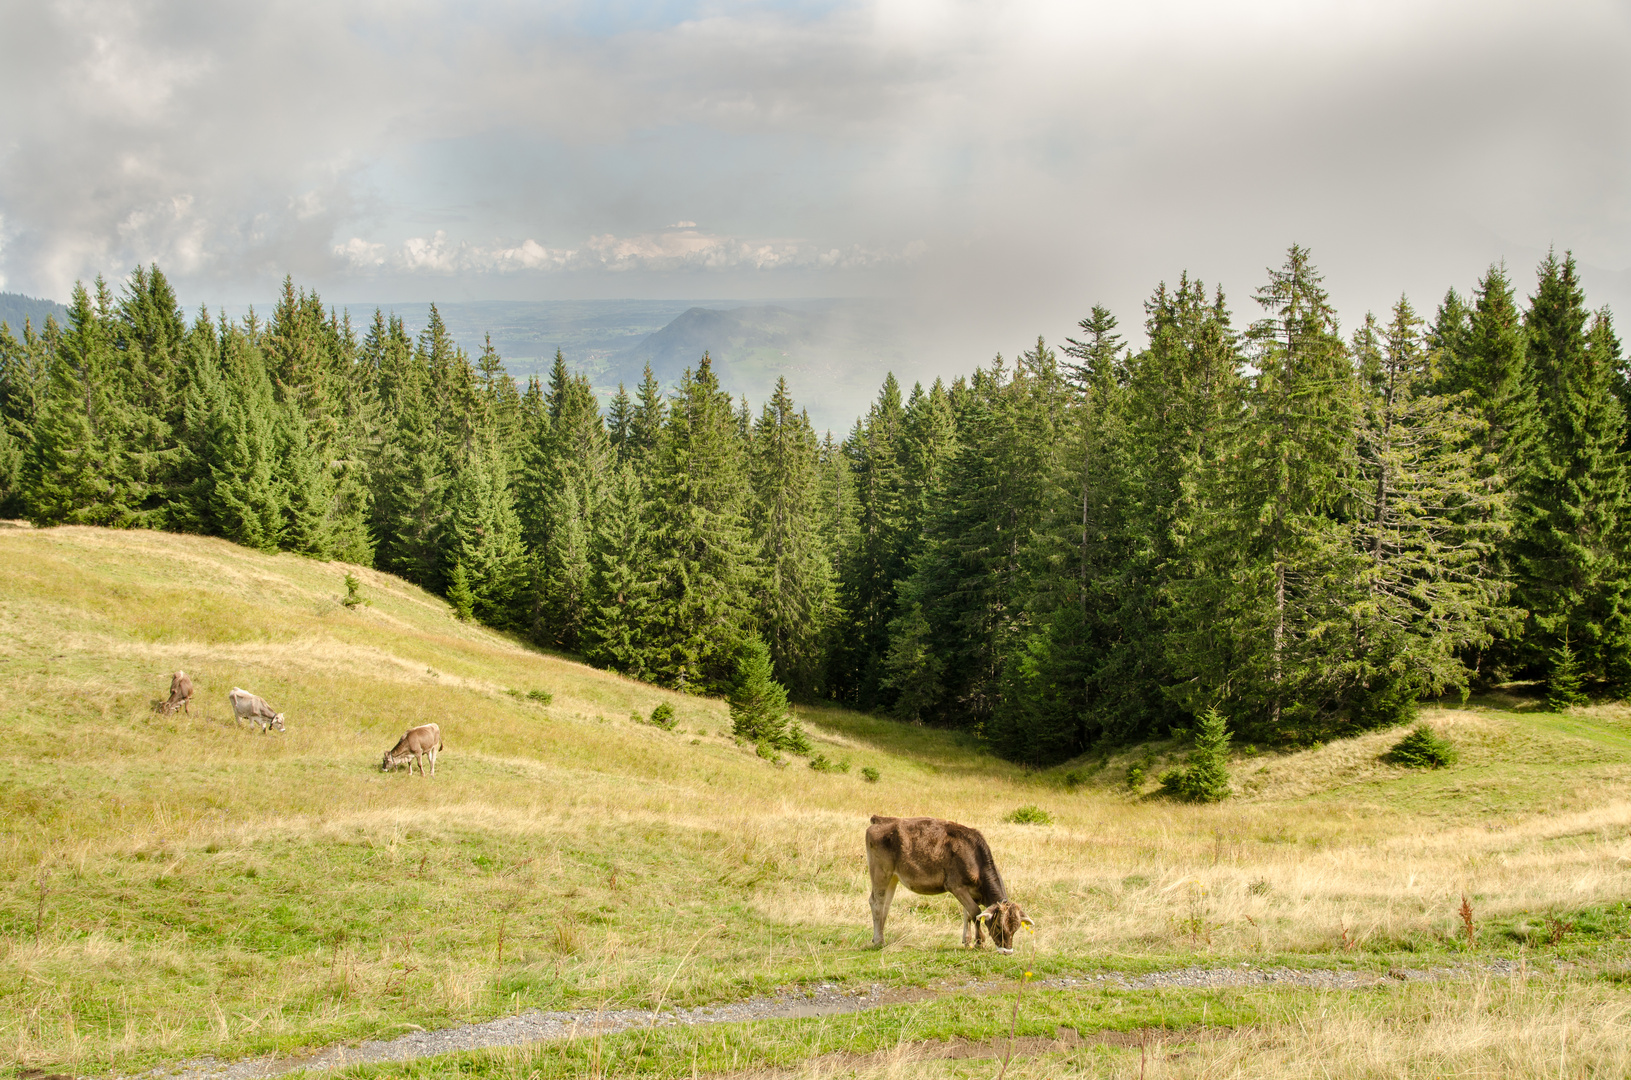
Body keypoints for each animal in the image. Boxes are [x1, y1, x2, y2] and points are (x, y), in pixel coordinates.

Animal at [867, 812, 1030, 959]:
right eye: (998, 926)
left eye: (1016, 928)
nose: (1007, 951)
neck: (975, 858)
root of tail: (880, 819)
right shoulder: (956, 886)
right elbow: (975, 912)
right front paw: (979, 942)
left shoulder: (972, 892)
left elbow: (967, 914)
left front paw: (967, 941)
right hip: (881, 872)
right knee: (876, 902)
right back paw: (879, 940)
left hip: (892, 877)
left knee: (886, 904)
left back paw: (879, 937)